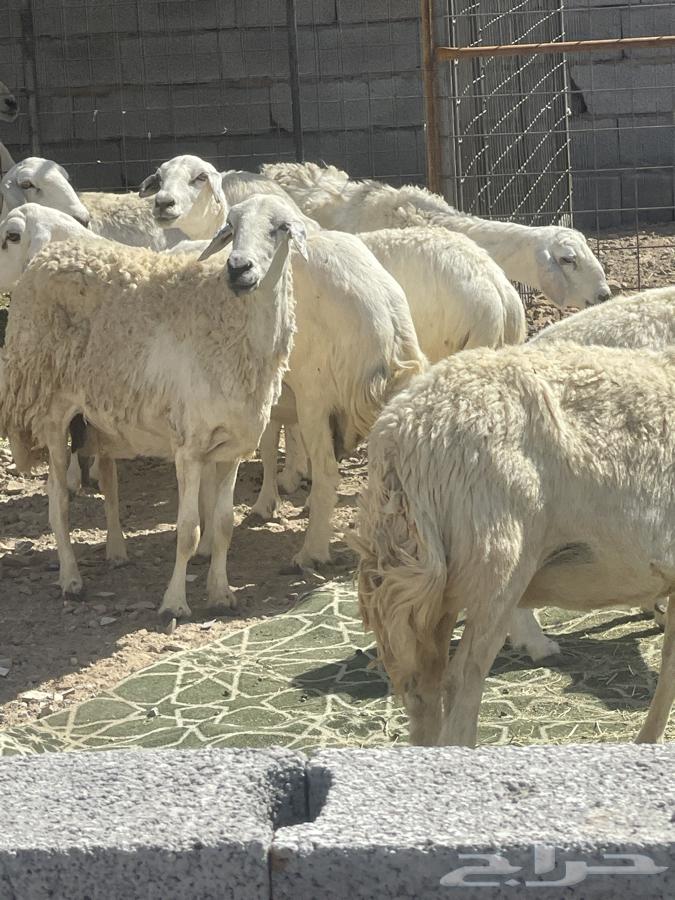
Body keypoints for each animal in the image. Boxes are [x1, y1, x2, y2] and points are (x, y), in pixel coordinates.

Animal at [0, 194, 304, 619]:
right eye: (232, 225)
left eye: (282, 227)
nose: (238, 268)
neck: (231, 319)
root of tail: (48, 256)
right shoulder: (189, 446)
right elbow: (189, 530)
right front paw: (174, 603)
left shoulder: (230, 447)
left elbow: (224, 524)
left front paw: (221, 592)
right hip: (52, 409)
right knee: (58, 501)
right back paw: (70, 578)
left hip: (94, 420)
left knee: (106, 484)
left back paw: (115, 552)